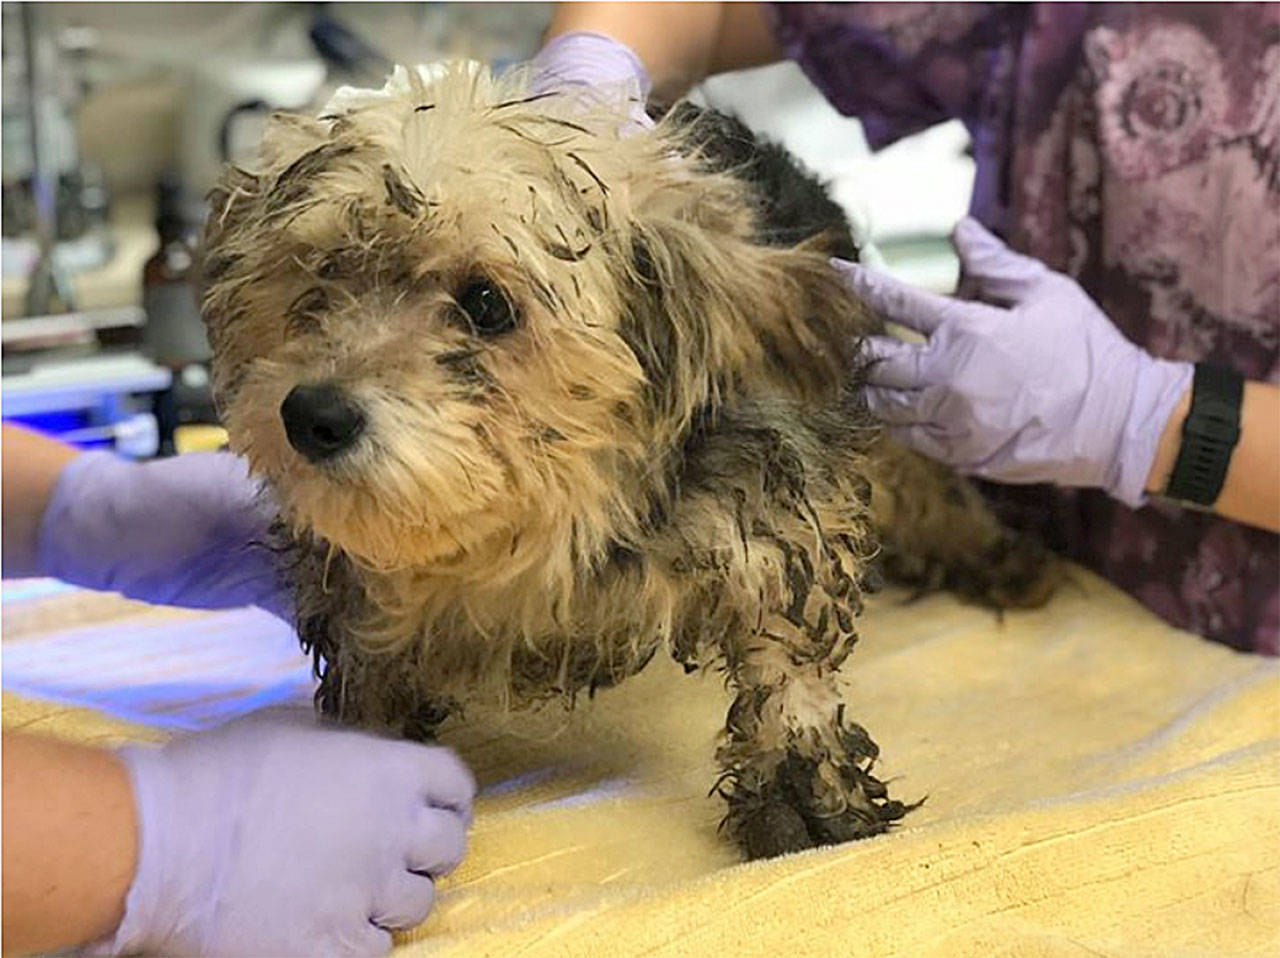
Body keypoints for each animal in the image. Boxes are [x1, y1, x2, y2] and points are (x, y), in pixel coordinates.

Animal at [204, 67, 1054, 860]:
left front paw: (804, 786)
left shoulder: (772, 496)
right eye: (320, 275)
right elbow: (370, 675)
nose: (313, 416)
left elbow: (788, 651)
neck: (543, 512)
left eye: (486, 305)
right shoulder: (352, 586)